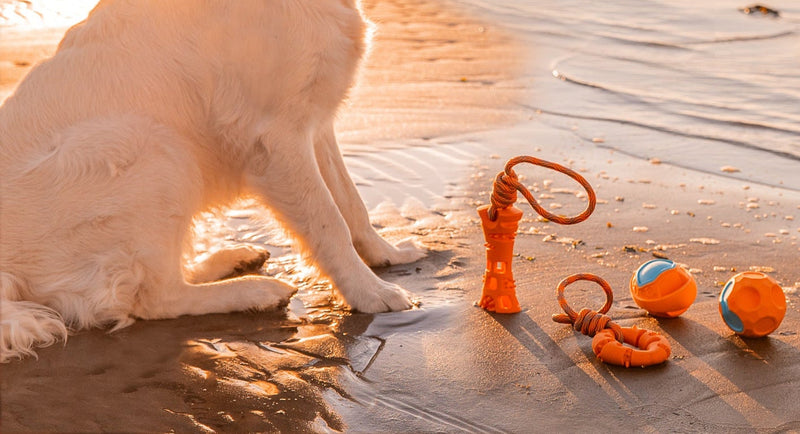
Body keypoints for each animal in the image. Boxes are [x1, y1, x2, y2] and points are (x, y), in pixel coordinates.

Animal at [0, 0, 424, 362]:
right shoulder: (277, 136)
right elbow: (329, 222)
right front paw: (371, 293)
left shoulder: (315, 122)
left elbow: (351, 204)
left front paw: (388, 255)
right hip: (152, 147)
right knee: (154, 297)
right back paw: (255, 291)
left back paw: (234, 260)